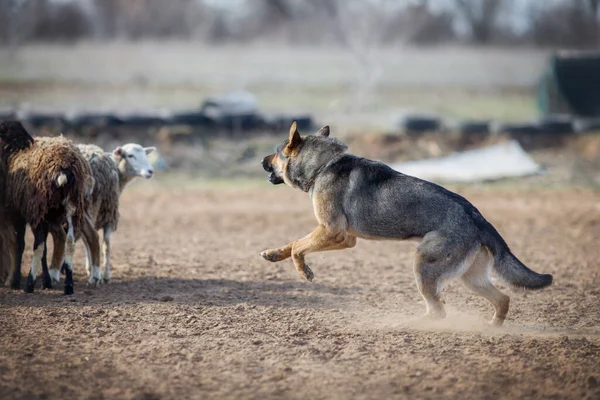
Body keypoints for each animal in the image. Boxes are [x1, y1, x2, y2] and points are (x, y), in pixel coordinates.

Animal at [0, 120, 94, 296]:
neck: (11, 150)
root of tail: (63, 167)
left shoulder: (20, 214)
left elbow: (21, 245)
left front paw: (16, 281)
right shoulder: (46, 217)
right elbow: (44, 250)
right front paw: (46, 281)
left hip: (38, 207)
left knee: (37, 245)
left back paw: (29, 285)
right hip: (72, 205)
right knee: (69, 242)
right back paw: (68, 286)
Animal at [49, 142, 156, 282]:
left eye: (145, 154)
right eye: (130, 155)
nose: (150, 171)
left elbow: (88, 242)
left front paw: (90, 269)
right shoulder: (108, 214)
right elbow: (105, 245)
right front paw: (104, 274)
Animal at [260, 123, 552, 326]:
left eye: (275, 153)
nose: (261, 161)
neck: (324, 165)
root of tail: (477, 217)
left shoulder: (333, 232)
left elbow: (298, 247)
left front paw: (304, 271)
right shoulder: (343, 238)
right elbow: (293, 243)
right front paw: (273, 254)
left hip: (424, 267)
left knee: (438, 312)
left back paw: (406, 324)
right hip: (470, 277)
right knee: (502, 299)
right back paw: (491, 328)